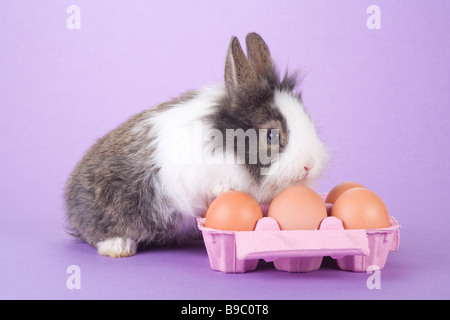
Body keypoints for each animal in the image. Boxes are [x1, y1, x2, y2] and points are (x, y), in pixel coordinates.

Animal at [65, 32, 328, 258]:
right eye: (272, 136)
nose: (310, 165)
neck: (229, 150)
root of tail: (69, 201)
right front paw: (226, 189)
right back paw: (119, 247)